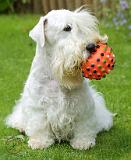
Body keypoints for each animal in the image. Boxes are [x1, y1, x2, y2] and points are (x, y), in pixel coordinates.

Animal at [5, 6, 113, 150]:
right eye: (67, 28)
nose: (92, 46)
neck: (56, 77)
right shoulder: (37, 106)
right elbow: (39, 124)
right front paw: (40, 142)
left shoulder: (82, 106)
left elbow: (84, 125)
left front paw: (83, 142)